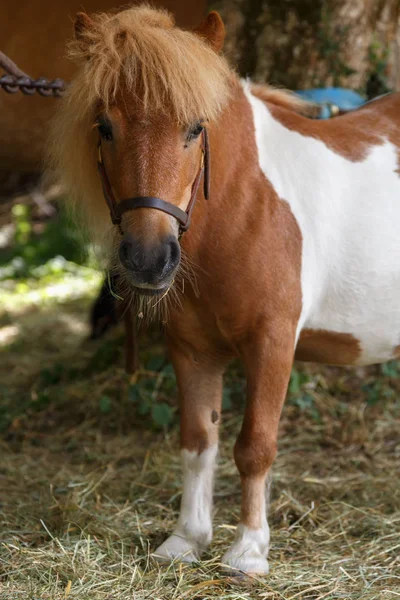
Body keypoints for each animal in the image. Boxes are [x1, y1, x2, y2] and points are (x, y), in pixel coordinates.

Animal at [48, 5, 400, 576]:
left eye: (195, 128)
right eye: (104, 127)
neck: (247, 206)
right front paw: (186, 540)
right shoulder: (191, 349)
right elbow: (198, 442)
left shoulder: (272, 342)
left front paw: (249, 550)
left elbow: (254, 444)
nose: (149, 258)